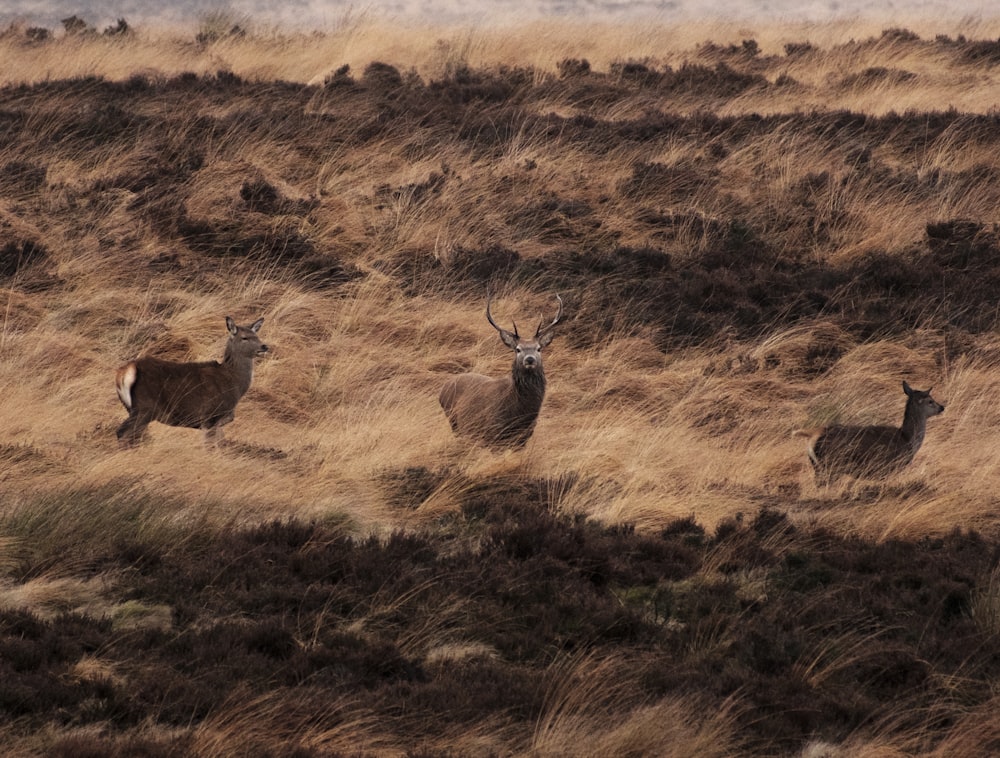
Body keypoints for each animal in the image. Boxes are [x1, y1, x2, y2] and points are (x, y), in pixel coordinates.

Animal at [116, 316, 270, 448]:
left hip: (133, 408)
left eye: (257, 336)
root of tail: (126, 370)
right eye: (244, 337)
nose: (264, 346)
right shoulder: (210, 416)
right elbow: (210, 446)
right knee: (123, 433)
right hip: (145, 407)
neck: (234, 384)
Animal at [440, 296, 564, 452]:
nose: (529, 359)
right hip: (453, 420)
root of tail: (443, 387)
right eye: (518, 349)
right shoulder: (493, 433)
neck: (520, 413)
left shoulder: (523, 438)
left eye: (538, 348)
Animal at [792, 380, 940, 486]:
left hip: (818, 466)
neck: (906, 438)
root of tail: (813, 433)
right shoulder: (888, 468)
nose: (942, 407)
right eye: (930, 401)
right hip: (830, 465)